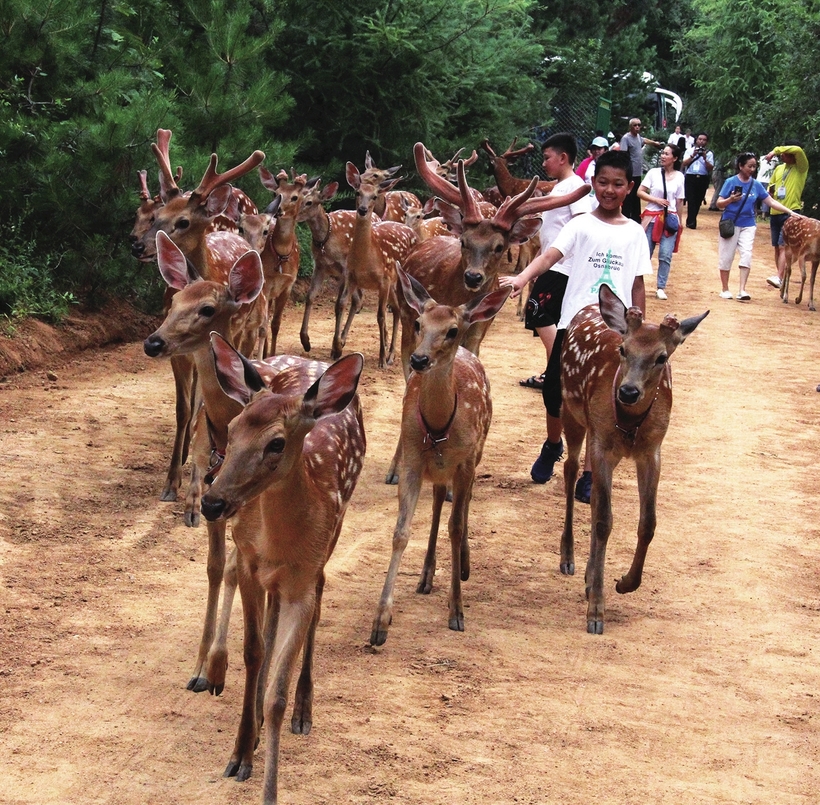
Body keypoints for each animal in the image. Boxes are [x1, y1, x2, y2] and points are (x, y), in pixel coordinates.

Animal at [143, 229, 268, 696]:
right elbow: (215, 568)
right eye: (174, 300)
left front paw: (218, 665)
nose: (153, 342)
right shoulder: (216, 502)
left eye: (208, 308)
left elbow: (236, 566)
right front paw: (200, 667)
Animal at [199, 334, 366, 804]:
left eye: (276, 443)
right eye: (232, 430)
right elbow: (254, 652)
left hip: (333, 537)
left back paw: (304, 708)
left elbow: (277, 694)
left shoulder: (302, 581)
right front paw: (240, 752)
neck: (279, 544)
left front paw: (268, 787)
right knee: (268, 629)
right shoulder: (251, 564)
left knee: (321, 602)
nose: (211, 502)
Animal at [338, 156, 416, 368]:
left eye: (374, 196)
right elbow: (341, 303)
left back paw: (389, 355)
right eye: (357, 192)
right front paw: (336, 346)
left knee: (401, 311)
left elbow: (380, 316)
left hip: (399, 281)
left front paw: (381, 358)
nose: (363, 210)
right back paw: (390, 354)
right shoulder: (351, 276)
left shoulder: (384, 280)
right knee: (397, 310)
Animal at [370, 266, 510, 644]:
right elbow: (401, 532)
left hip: (476, 453)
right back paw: (426, 575)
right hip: (438, 469)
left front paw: (457, 612)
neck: (438, 426)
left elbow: (456, 528)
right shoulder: (414, 462)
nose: (418, 359)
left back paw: (463, 566)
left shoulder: (464, 462)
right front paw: (380, 622)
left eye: (452, 330)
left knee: (463, 507)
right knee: (436, 503)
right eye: (419, 322)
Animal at [560, 284, 708, 636]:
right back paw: (568, 558)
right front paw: (596, 613)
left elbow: (648, 522)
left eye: (662, 357)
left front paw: (625, 582)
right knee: (570, 470)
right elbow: (603, 521)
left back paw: (588, 575)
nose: (628, 392)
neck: (629, 424)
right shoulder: (602, 446)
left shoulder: (652, 451)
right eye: (623, 350)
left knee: (593, 497)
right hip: (572, 412)